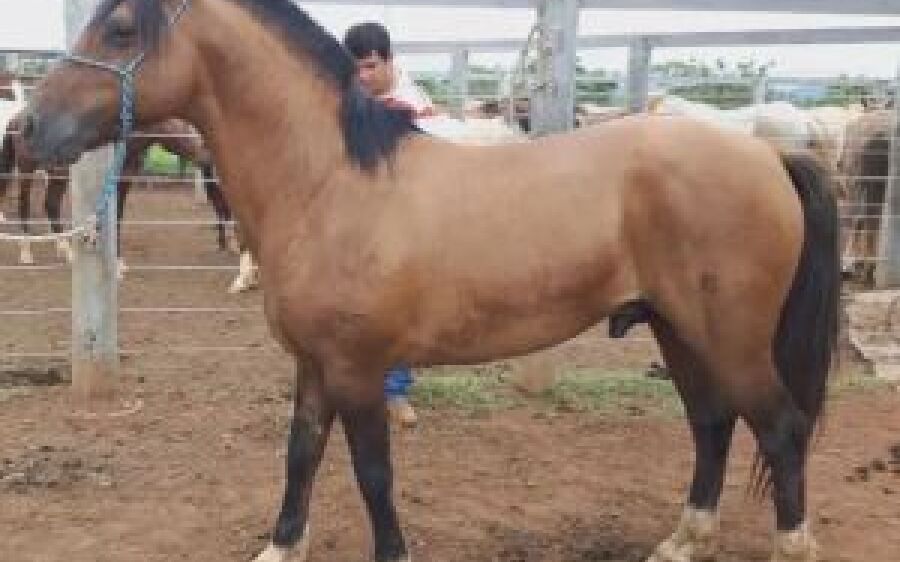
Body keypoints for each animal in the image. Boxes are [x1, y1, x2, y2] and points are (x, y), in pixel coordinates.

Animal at [22, 2, 840, 562]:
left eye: (121, 28)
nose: (26, 128)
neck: (329, 185)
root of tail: (769, 156)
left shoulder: (358, 369)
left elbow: (372, 471)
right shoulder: (313, 364)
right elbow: (301, 453)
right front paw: (281, 545)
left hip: (730, 338)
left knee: (781, 428)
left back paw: (790, 546)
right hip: (677, 330)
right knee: (713, 424)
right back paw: (682, 540)